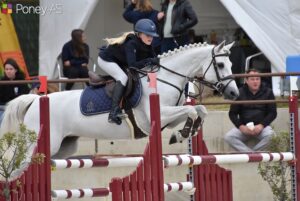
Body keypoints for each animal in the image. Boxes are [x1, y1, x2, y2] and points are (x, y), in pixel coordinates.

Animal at [0, 41, 239, 159]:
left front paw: (184, 133)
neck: (167, 77)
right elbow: (191, 111)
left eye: (231, 64)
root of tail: (35, 101)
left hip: (63, 146)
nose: (234, 94)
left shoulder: (168, 118)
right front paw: (181, 135)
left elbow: (199, 111)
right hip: (41, 144)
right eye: (220, 65)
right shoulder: (157, 115)